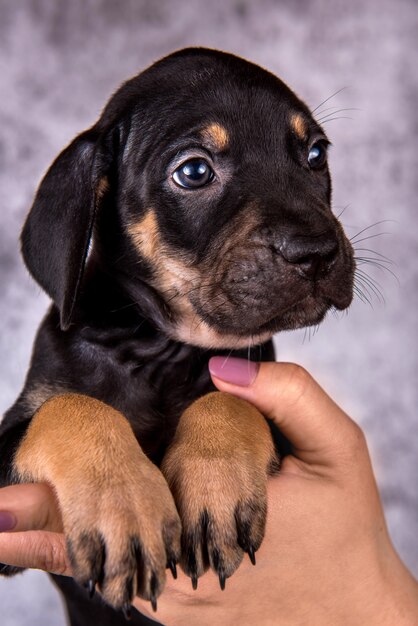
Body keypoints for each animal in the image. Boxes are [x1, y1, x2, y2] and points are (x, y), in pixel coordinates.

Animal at [0, 50, 354, 624]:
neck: (159, 350)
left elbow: (230, 399)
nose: (317, 252)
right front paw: (122, 503)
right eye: (193, 171)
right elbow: (67, 407)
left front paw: (214, 480)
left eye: (315, 154)